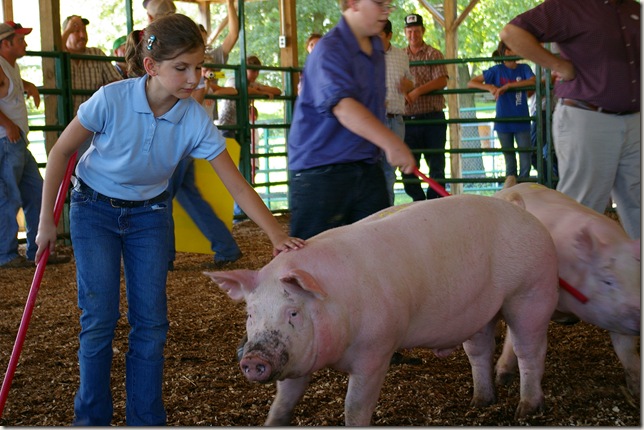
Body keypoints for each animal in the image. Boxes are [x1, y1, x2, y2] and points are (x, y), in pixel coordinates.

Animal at [206, 196, 560, 426]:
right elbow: (284, 400)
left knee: (530, 350)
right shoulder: (298, 358)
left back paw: (526, 411)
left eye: (293, 312)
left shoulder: (376, 350)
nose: (253, 359)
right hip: (480, 311)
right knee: (480, 350)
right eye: (250, 313)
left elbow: (355, 408)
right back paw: (479, 402)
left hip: (531, 292)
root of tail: (523, 212)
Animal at [494, 181, 640, 396]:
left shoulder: (616, 317)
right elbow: (514, 340)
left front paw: (636, 390)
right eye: (607, 281)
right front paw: (502, 378)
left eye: (639, 280)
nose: (639, 315)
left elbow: (626, 350)